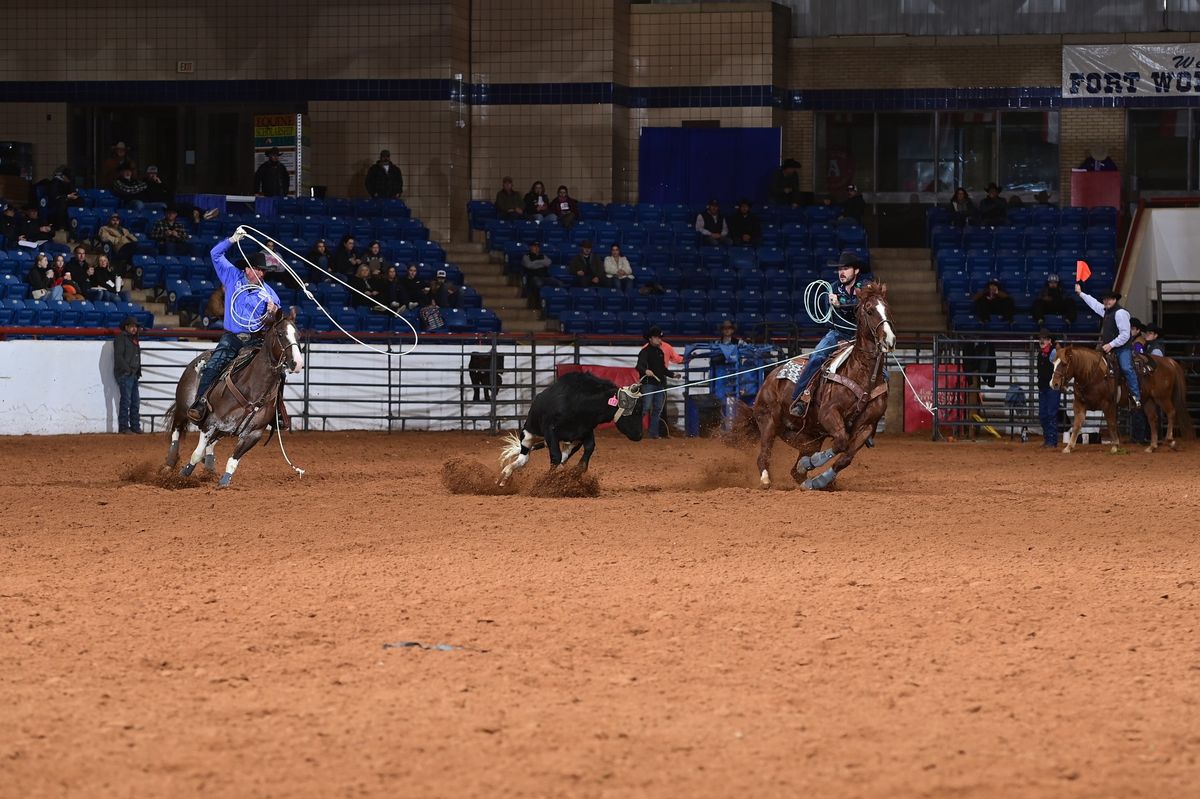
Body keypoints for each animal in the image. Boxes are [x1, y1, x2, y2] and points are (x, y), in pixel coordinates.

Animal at [164, 307, 304, 484]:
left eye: (298, 335)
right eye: (280, 334)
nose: (297, 363)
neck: (252, 388)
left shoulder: (253, 434)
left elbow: (233, 460)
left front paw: (224, 482)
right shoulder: (210, 423)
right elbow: (196, 454)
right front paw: (184, 474)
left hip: (223, 430)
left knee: (210, 445)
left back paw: (209, 467)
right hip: (184, 408)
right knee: (176, 430)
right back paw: (170, 463)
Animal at [744, 283, 897, 489]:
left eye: (887, 309)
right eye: (870, 310)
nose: (890, 340)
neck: (863, 374)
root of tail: (772, 375)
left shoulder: (867, 425)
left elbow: (845, 457)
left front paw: (818, 479)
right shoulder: (829, 412)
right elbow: (841, 442)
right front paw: (811, 465)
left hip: (807, 437)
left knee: (794, 470)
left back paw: (809, 480)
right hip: (768, 420)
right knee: (764, 455)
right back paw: (766, 479)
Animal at [1051, 343, 1190, 451]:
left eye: (1064, 364)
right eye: (1053, 363)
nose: (1054, 384)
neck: (1093, 374)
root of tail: (1169, 361)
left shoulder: (1108, 404)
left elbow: (1111, 423)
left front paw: (1115, 445)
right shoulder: (1079, 403)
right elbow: (1077, 424)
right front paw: (1069, 447)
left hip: (1162, 397)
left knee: (1171, 412)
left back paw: (1170, 440)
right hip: (1148, 400)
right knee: (1152, 418)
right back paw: (1152, 446)